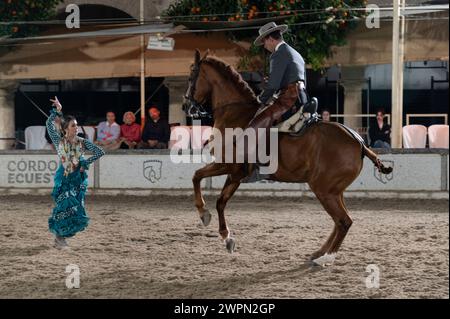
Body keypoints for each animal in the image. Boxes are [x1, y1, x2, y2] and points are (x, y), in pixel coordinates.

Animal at [185, 50, 392, 264]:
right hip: (334, 191)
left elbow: (197, 176)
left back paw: (325, 258)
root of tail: (359, 142)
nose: (187, 106)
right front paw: (227, 237)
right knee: (339, 222)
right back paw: (319, 253)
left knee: (343, 221)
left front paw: (203, 212)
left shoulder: (228, 167)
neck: (235, 114)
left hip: (324, 190)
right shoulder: (236, 175)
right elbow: (220, 201)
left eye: (192, 76)